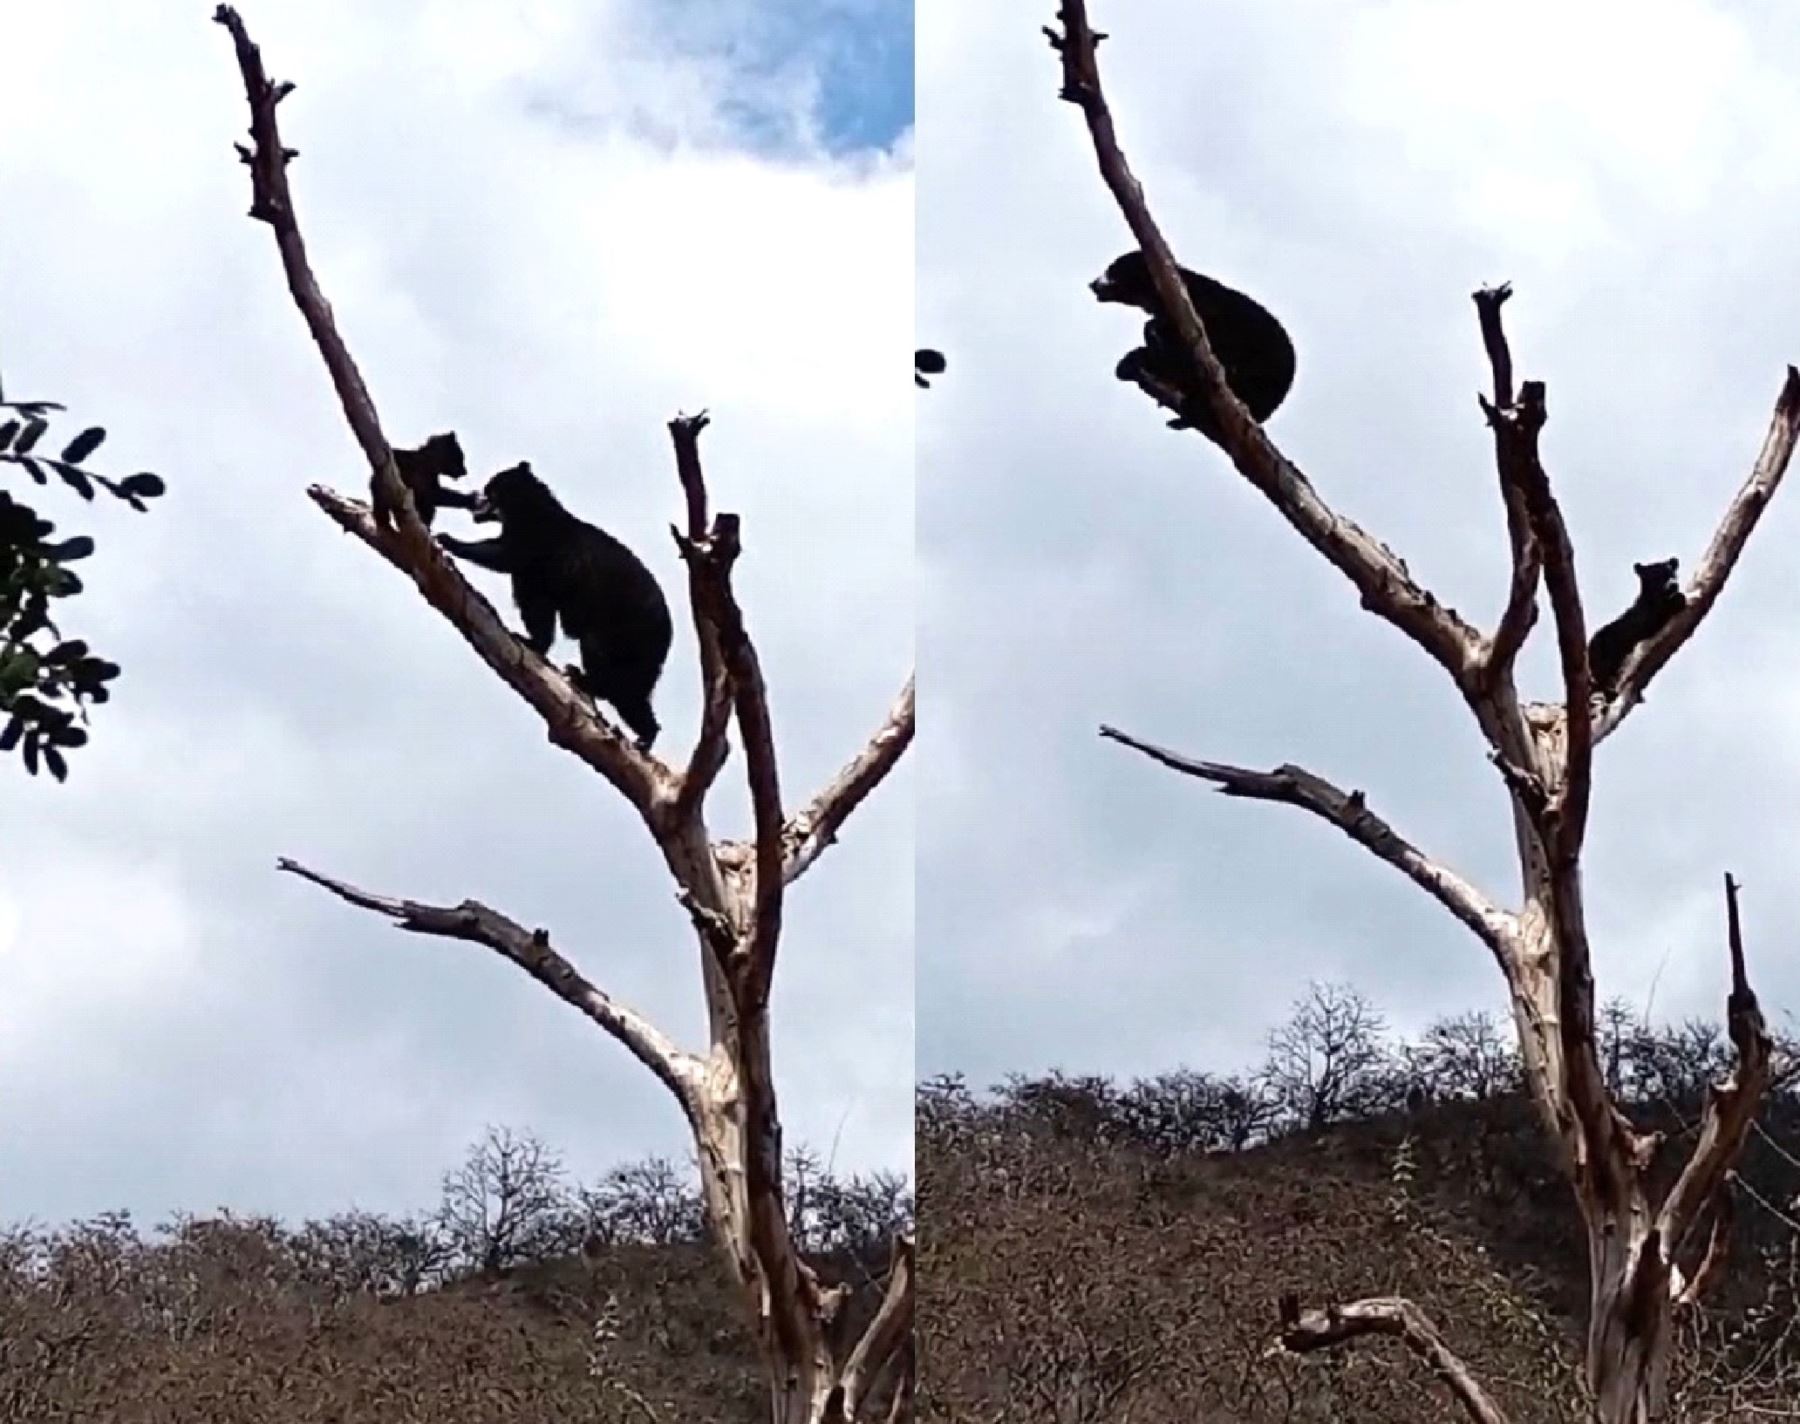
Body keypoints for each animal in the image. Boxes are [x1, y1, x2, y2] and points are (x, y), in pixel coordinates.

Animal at [437, 464, 676, 752]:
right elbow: (537, 609)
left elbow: (505, 557)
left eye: (490, 490)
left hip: (625, 631)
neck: (528, 509)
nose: (476, 502)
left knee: (611, 669)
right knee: (634, 689)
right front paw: (532, 640)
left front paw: (448, 539)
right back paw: (644, 731)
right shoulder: (538, 577)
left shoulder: (539, 545)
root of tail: (668, 635)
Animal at [1591, 554, 1684, 694]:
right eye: (1656, 576)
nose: (1673, 585)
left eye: (1673, 574)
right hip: (1601, 652)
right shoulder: (1644, 622)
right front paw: (1679, 599)